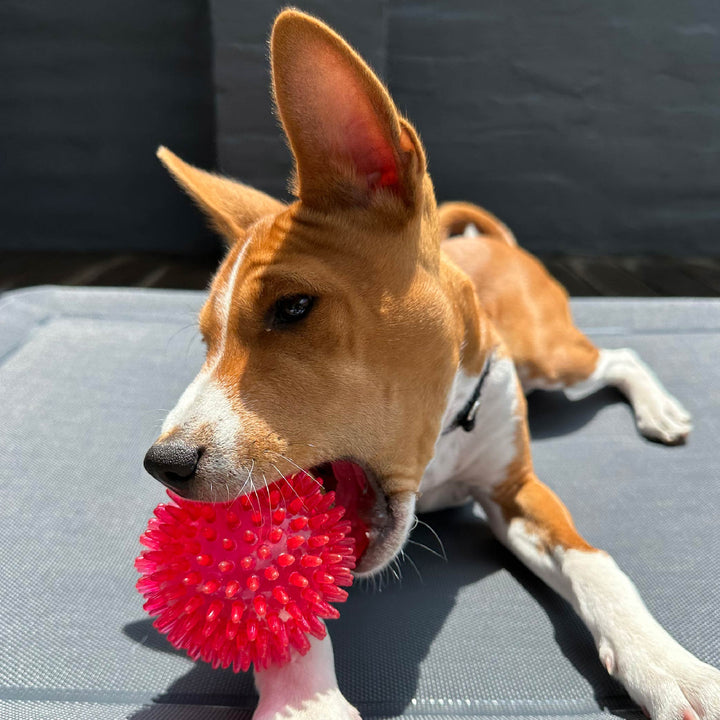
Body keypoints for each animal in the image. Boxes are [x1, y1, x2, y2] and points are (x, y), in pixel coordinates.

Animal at [145, 9, 720, 720]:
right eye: (207, 342)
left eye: (294, 306)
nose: (164, 465)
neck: (440, 444)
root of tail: (486, 242)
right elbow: (282, 594)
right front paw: (305, 702)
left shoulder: (517, 490)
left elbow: (596, 565)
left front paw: (670, 666)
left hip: (551, 358)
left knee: (619, 355)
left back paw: (659, 410)